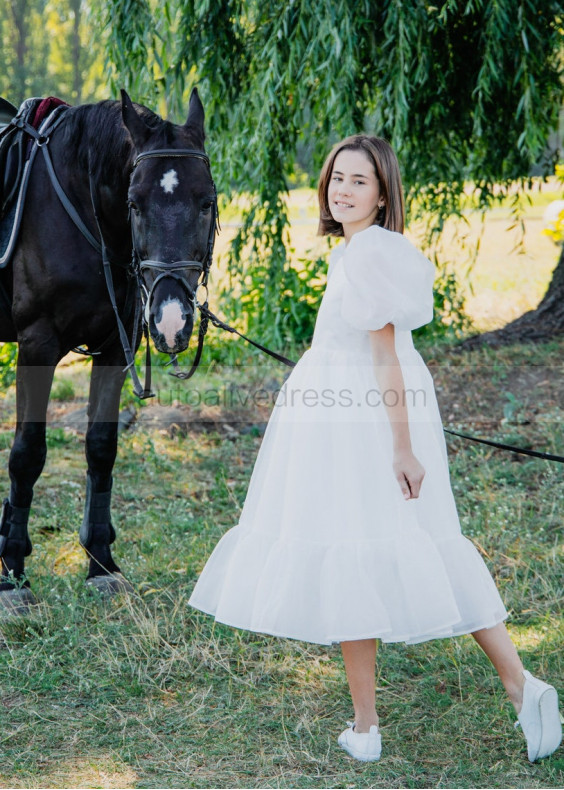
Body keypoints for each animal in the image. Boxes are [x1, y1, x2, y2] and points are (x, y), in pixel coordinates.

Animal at [0, 89, 217, 616]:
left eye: (205, 201)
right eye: (134, 203)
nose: (172, 320)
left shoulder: (117, 347)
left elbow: (101, 447)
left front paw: (101, 564)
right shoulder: (37, 344)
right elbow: (26, 453)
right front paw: (12, 574)